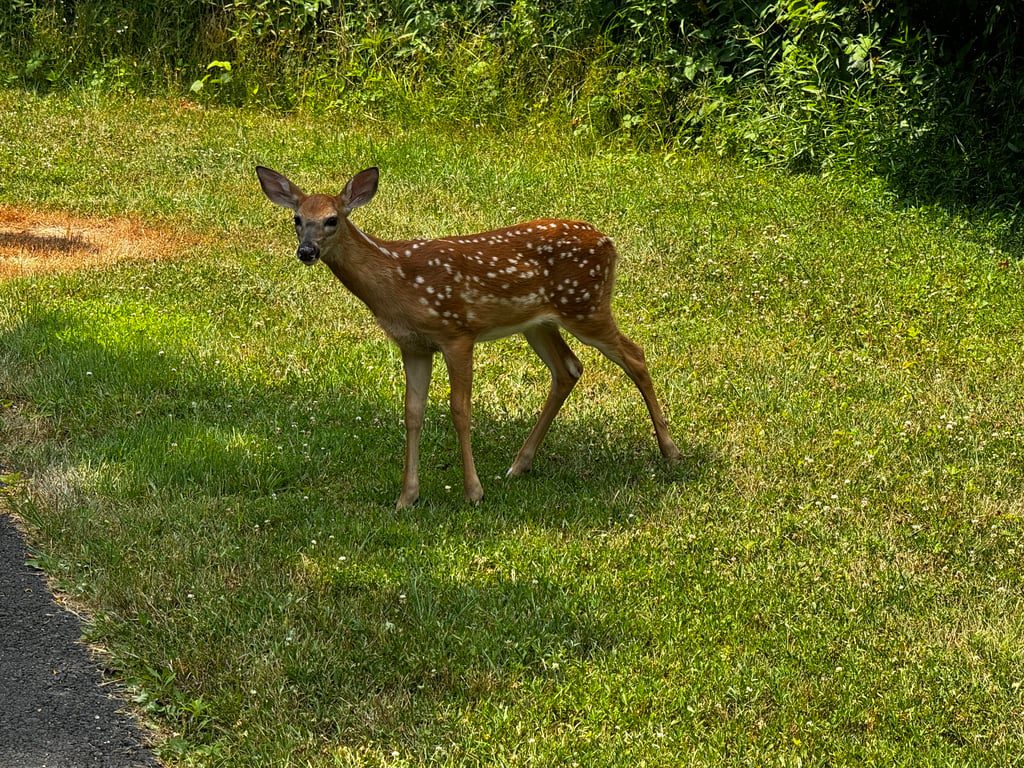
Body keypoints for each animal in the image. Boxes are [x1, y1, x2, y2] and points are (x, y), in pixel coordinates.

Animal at [256, 165, 682, 509]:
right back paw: (519, 464)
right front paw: (407, 497)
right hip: (540, 323)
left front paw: (473, 492)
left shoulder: (457, 332)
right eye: (297, 218)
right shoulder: (413, 345)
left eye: (332, 219)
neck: (398, 282)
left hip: (586, 305)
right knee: (569, 368)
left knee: (635, 354)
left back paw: (671, 451)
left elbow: (460, 409)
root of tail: (609, 242)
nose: (306, 251)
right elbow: (413, 412)